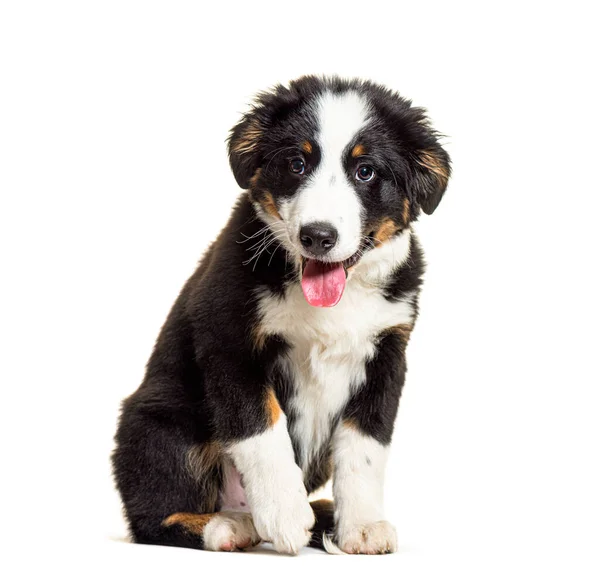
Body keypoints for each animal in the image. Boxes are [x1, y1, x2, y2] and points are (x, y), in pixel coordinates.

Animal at [112, 74, 450, 556]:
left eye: (365, 171)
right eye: (297, 163)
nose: (318, 236)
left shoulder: (387, 352)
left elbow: (366, 445)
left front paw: (362, 525)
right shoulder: (227, 336)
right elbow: (260, 427)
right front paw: (284, 514)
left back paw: (321, 515)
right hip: (160, 423)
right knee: (151, 518)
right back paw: (229, 525)